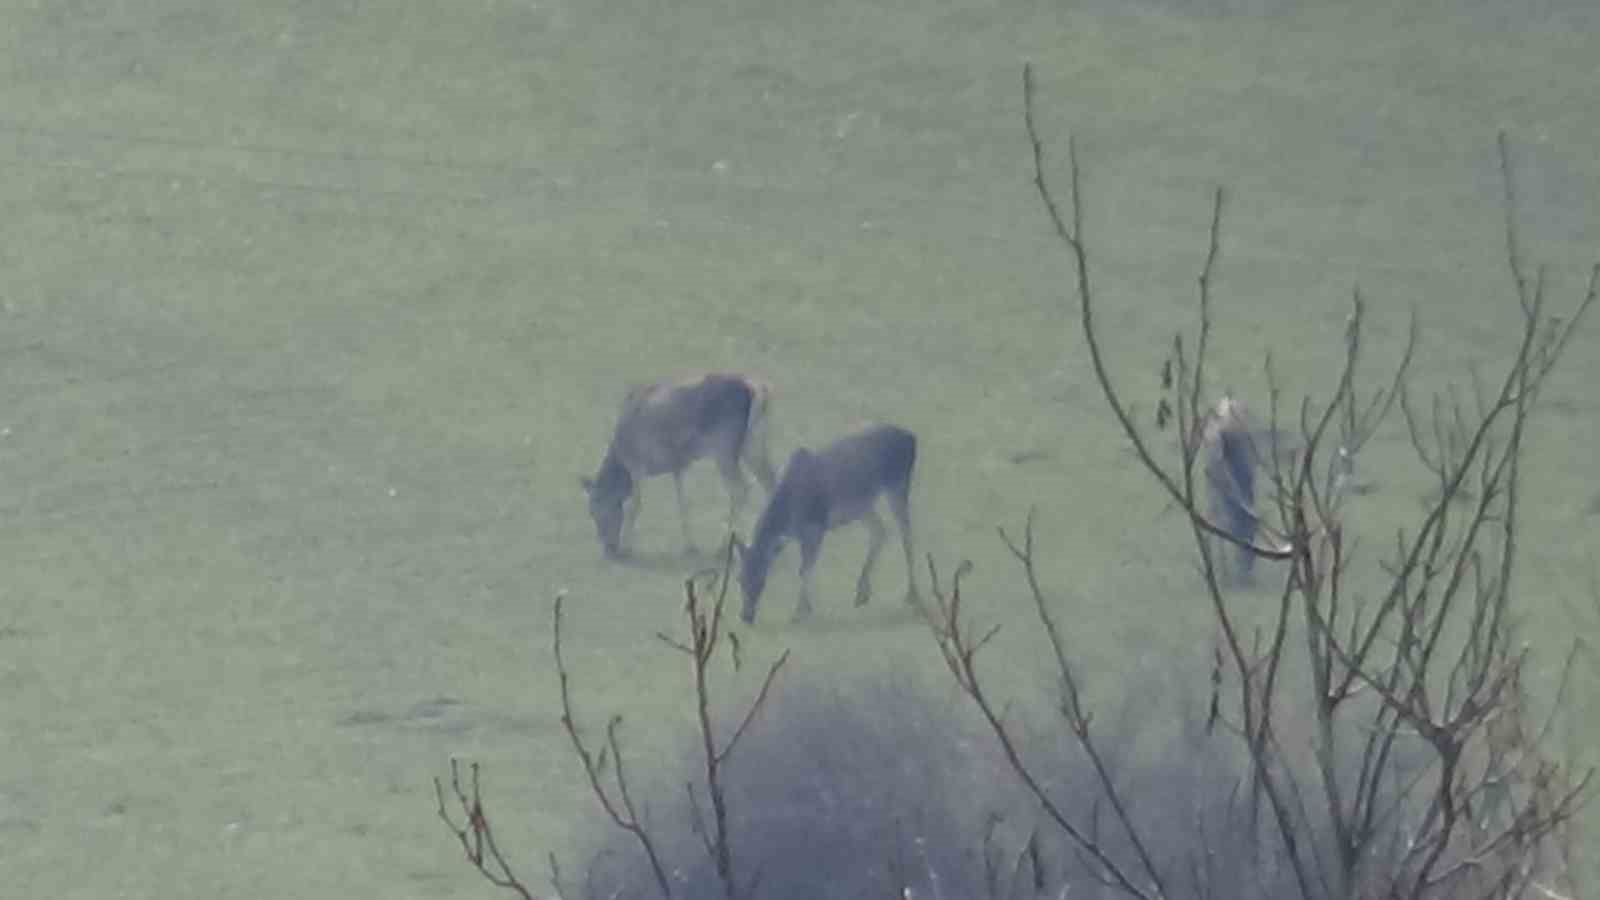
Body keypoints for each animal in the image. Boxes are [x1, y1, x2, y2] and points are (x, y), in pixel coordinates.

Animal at [582, 369, 780, 554]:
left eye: (593, 510)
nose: (609, 548)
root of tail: (757, 389)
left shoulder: (637, 464)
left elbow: (634, 504)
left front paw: (626, 547)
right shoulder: (678, 465)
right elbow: (683, 503)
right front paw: (690, 546)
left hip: (724, 447)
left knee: (740, 489)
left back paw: (723, 547)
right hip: (755, 445)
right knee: (770, 482)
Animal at [732, 419, 921, 624]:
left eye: (762, 579)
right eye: (739, 578)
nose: (745, 616)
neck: (787, 515)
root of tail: (912, 437)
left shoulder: (816, 526)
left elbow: (804, 569)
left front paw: (800, 611)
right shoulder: (800, 534)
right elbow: (805, 568)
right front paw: (807, 607)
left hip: (898, 484)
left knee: (906, 536)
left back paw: (911, 594)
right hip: (863, 506)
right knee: (880, 530)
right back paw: (862, 593)